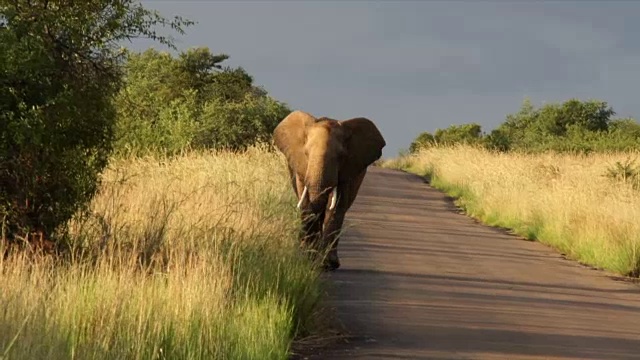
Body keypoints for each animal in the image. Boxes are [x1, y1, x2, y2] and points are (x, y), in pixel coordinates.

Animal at [272, 109, 384, 270]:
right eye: (306, 153)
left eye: (341, 156)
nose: (299, 237)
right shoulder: (300, 167)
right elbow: (306, 204)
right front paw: (308, 257)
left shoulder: (348, 170)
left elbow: (336, 207)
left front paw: (327, 264)